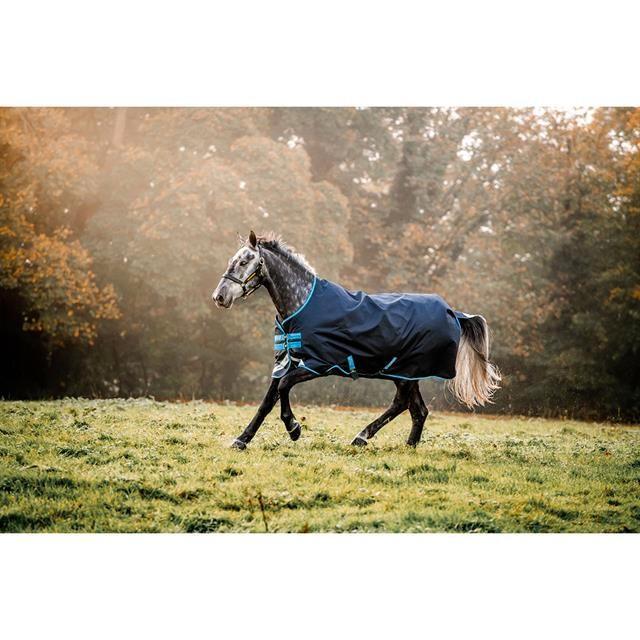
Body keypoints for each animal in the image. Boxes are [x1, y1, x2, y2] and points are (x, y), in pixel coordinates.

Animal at [212, 230, 501, 449]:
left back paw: (362, 437)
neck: (302, 303)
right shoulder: (286, 362)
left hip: (406, 372)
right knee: (417, 410)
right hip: (406, 374)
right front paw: (241, 440)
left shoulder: (317, 365)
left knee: (404, 405)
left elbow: (283, 388)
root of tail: (454, 313)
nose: (219, 296)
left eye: (245, 261)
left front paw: (294, 429)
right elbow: (267, 401)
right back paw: (405, 445)